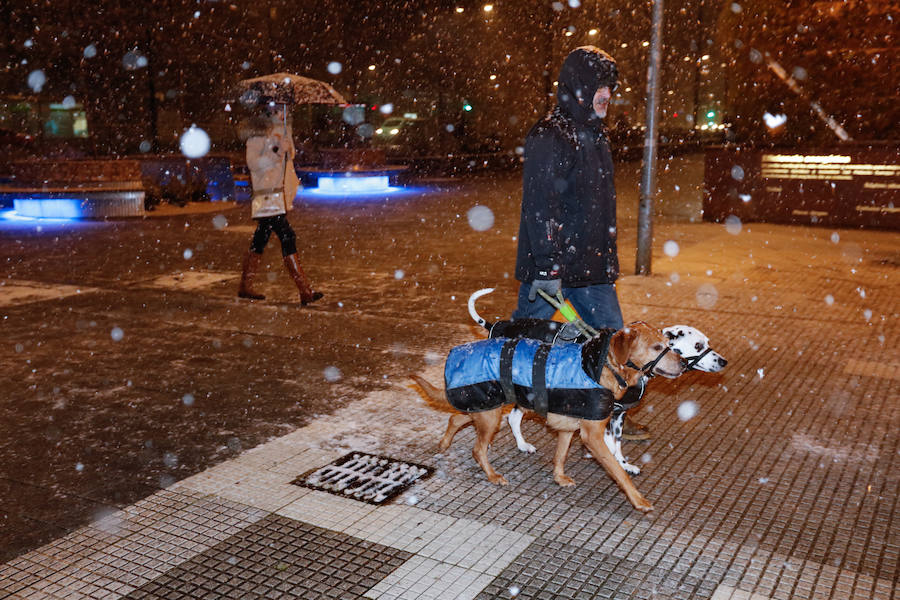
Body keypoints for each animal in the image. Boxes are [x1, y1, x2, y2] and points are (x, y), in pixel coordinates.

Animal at [410, 322, 684, 512]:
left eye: (668, 343)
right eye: (657, 347)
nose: (683, 364)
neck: (597, 367)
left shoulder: (568, 428)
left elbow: (560, 456)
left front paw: (559, 478)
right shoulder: (593, 436)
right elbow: (619, 471)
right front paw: (638, 499)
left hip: (485, 407)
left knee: (456, 418)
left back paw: (444, 444)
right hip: (490, 414)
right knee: (478, 449)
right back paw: (492, 475)